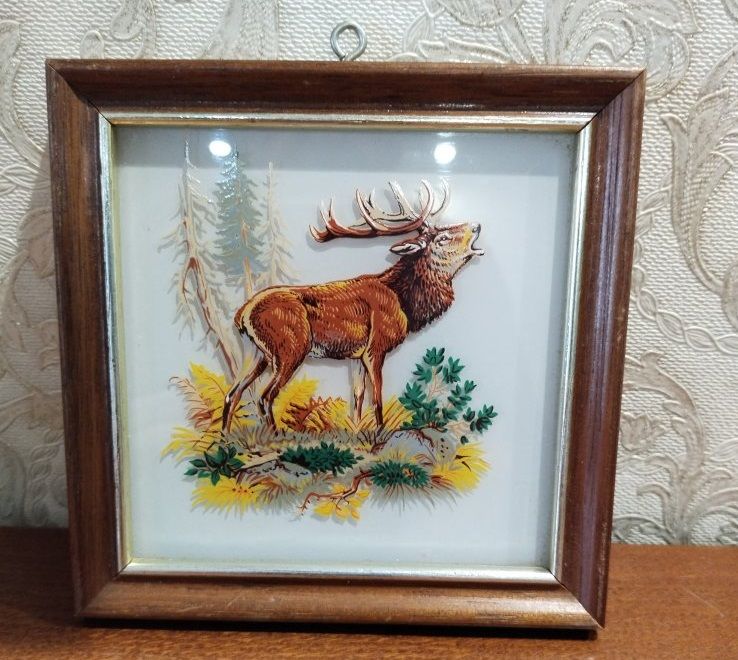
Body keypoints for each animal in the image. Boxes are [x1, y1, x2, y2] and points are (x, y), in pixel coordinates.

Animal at [221, 179, 484, 432]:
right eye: (442, 238)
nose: (476, 226)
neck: (404, 304)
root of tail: (242, 314)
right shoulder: (376, 347)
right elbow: (377, 399)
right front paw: (378, 435)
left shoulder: (355, 356)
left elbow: (357, 397)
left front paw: (357, 431)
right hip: (290, 348)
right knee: (265, 397)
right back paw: (275, 437)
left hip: (256, 352)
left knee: (233, 393)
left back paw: (226, 436)